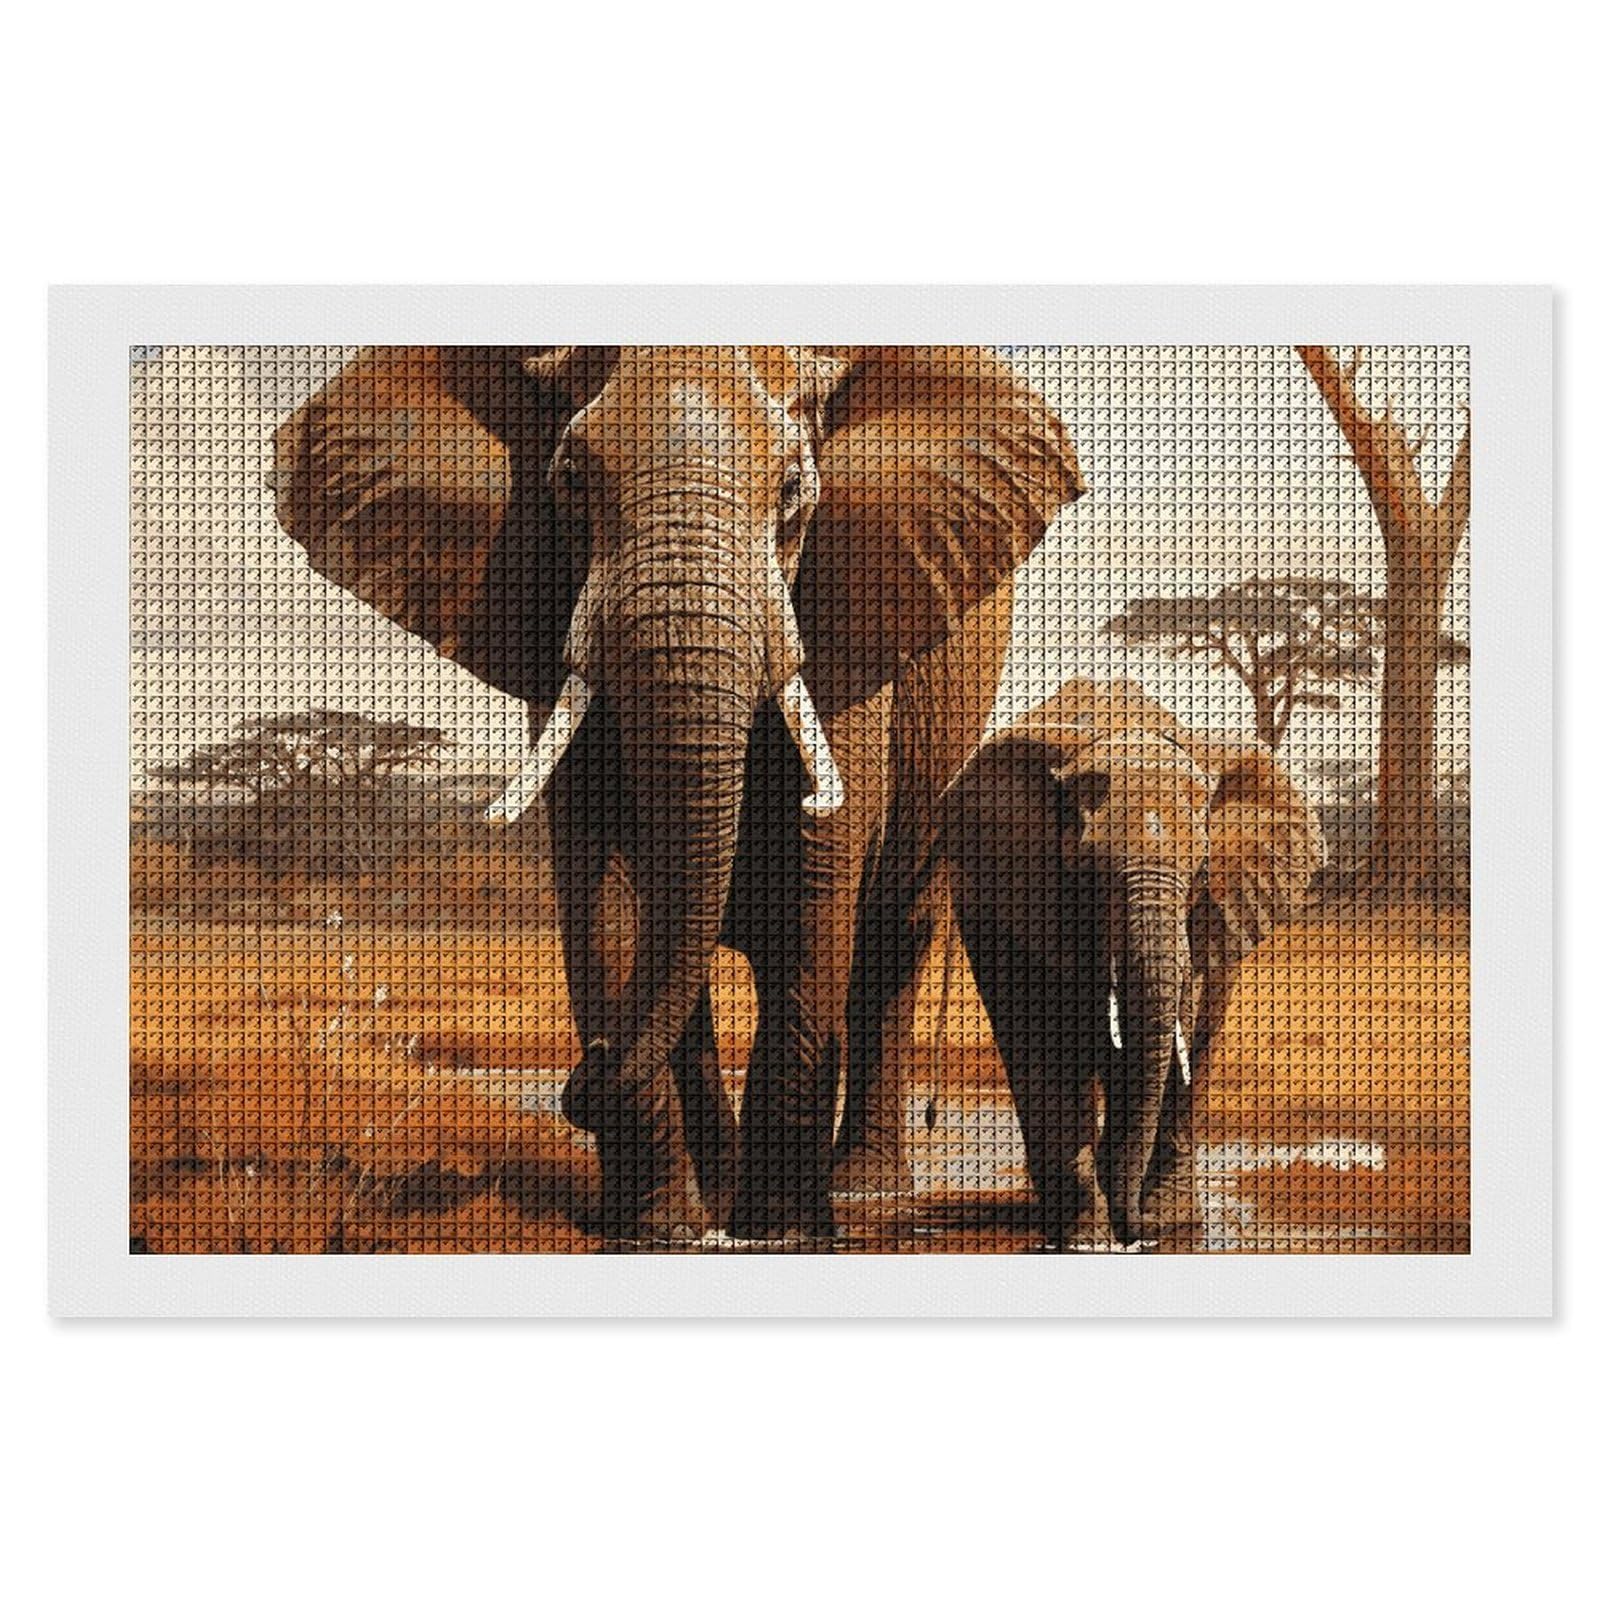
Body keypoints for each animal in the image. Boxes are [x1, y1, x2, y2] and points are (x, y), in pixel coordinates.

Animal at [272, 346, 1085, 1242]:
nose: (581, 1078)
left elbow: (813, 892)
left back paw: (863, 1192)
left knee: (888, 943)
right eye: (570, 481)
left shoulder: (847, 632)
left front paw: (777, 1233)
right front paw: (659, 1230)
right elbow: (611, 904)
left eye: (796, 491)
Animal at [940, 679, 1323, 1247]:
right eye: (1088, 874)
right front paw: (1086, 1236)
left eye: (1201, 870)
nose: (1134, 1235)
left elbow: (1177, 1024)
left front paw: (1163, 1223)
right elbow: (1048, 1035)